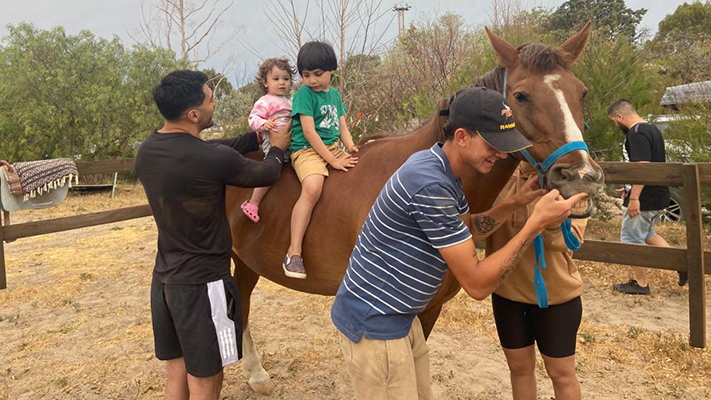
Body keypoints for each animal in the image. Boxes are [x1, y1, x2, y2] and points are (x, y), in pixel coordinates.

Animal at [225, 22, 604, 394]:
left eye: (582, 92)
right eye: (521, 96)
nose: (581, 177)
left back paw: (255, 374)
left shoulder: (428, 310)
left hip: (245, 261)